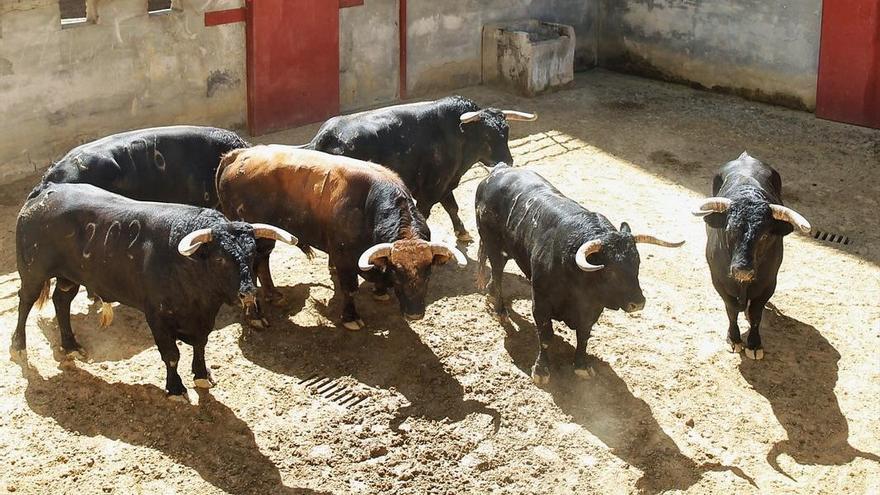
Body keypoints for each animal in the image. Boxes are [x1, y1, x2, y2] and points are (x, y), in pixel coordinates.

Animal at [12, 184, 296, 402]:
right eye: (220, 259)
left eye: (251, 254)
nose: (248, 294)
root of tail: (44, 191)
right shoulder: (157, 317)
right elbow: (171, 355)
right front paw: (176, 388)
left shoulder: (202, 318)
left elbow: (200, 345)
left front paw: (202, 375)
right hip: (33, 273)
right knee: (25, 303)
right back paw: (18, 347)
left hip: (68, 277)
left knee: (61, 301)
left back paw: (70, 345)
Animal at [215, 144, 468, 330]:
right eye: (397, 275)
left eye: (428, 274)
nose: (415, 314)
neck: (368, 206)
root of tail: (238, 155)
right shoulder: (344, 257)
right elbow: (349, 288)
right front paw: (351, 317)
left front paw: (379, 291)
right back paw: (256, 315)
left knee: (263, 262)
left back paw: (274, 295)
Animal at [478, 165, 684, 386]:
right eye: (610, 271)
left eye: (637, 263)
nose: (638, 303)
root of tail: (498, 170)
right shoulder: (540, 303)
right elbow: (546, 337)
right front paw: (541, 370)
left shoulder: (592, 308)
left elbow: (584, 335)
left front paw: (581, 366)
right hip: (493, 246)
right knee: (497, 274)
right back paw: (500, 310)